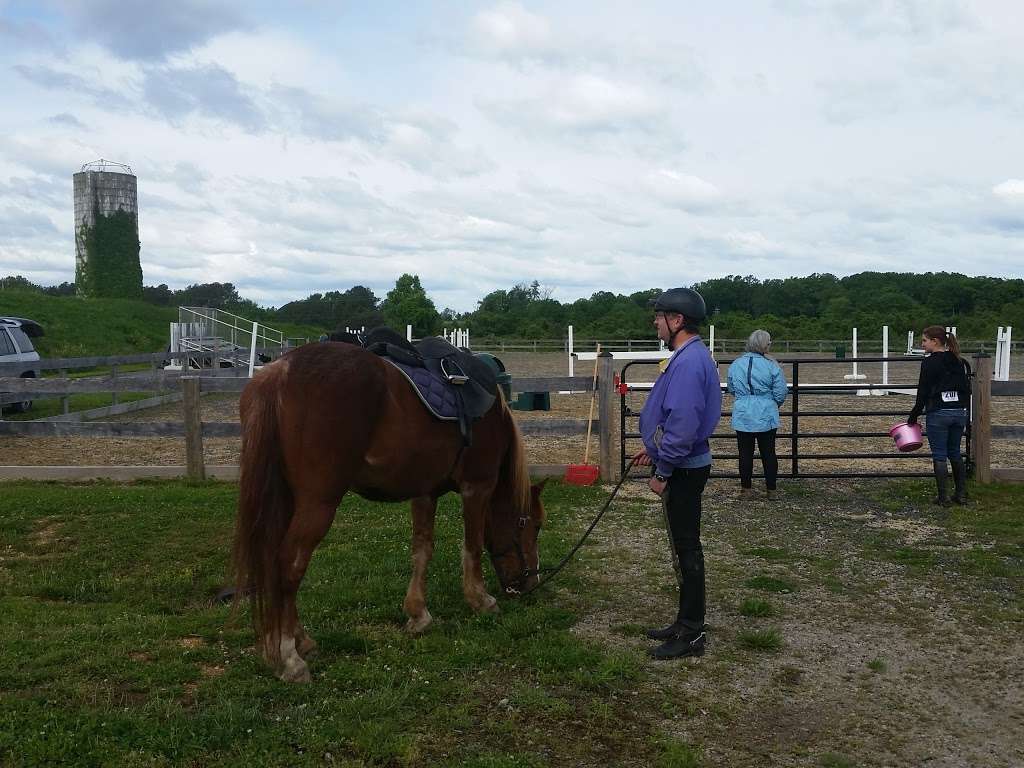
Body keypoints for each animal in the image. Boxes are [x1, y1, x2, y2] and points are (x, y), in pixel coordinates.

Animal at [233, 346, 548, 684]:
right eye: (534, 526)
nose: (531, 583)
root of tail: (280, 370)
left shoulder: (425, 491)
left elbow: (422, 550)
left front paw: (418, 614)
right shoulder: (477, 486)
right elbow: (472, 547)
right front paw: (480, 600)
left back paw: (301, 642)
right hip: (317, 503)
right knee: (289, 566)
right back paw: (290, 657)